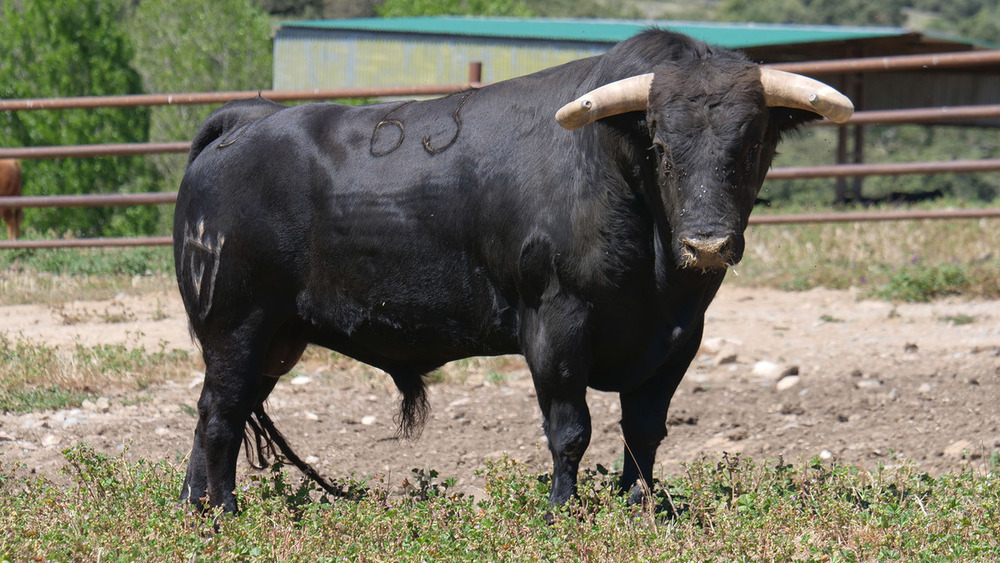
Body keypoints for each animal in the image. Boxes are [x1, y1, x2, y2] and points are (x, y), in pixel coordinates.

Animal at [172, 28, 852, 512]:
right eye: (659, 144)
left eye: (752, 143)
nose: (707, 244)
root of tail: (248, 120)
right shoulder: (555, 324)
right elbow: (570, 429)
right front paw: (562, 510)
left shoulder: (679, 338)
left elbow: (644, 430)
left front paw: (641, 507)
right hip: (235, 326)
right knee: (220, 415)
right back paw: (223, 512)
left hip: (275, 339)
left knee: (216, 416)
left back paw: (194, 508)